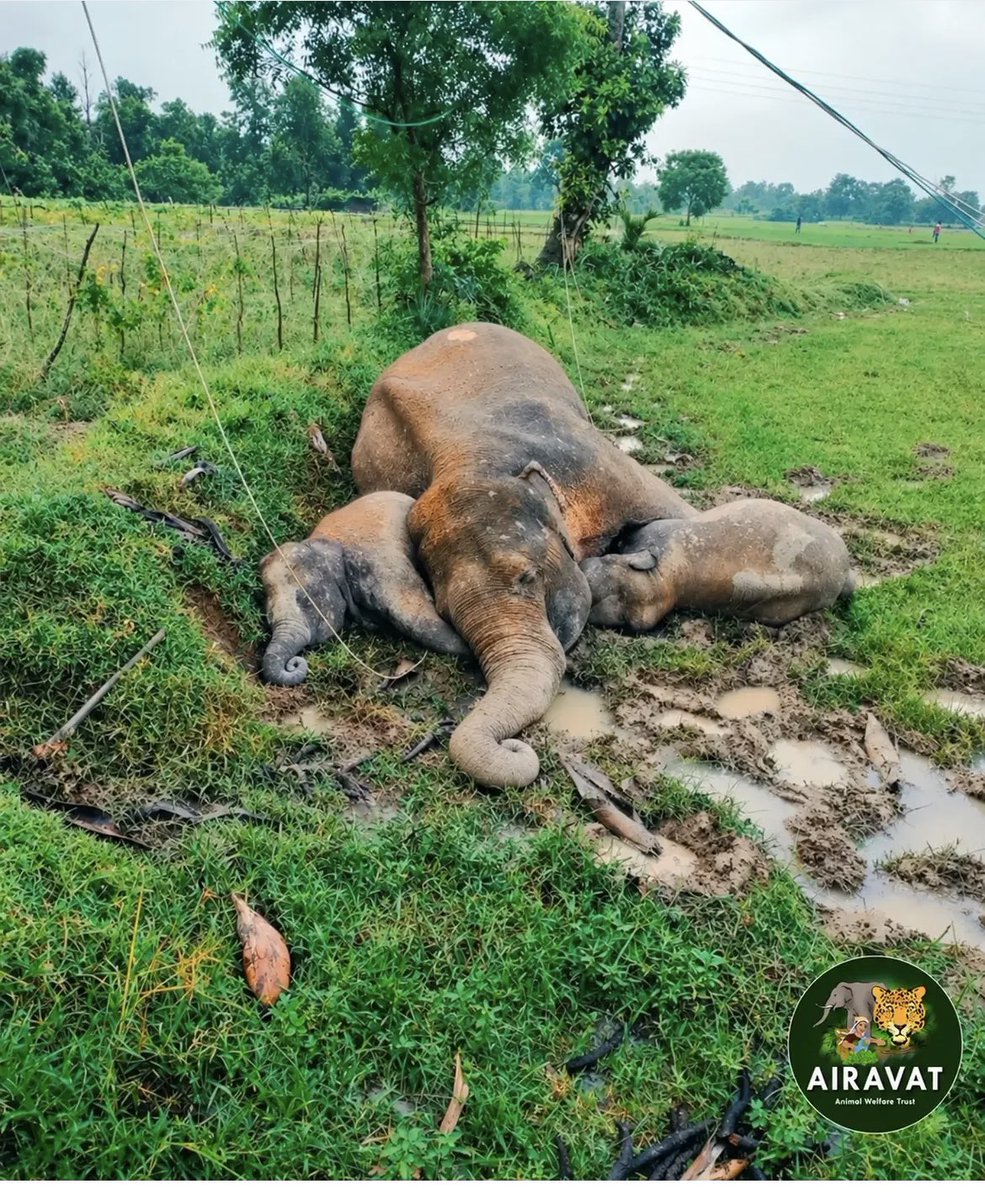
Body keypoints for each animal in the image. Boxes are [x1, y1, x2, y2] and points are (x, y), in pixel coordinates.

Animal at [260, 490, 466, 685]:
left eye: (306, 601)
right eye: (268, 615)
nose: (294, 662)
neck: (321, 541)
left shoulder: (381, 565)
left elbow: (417, 617)